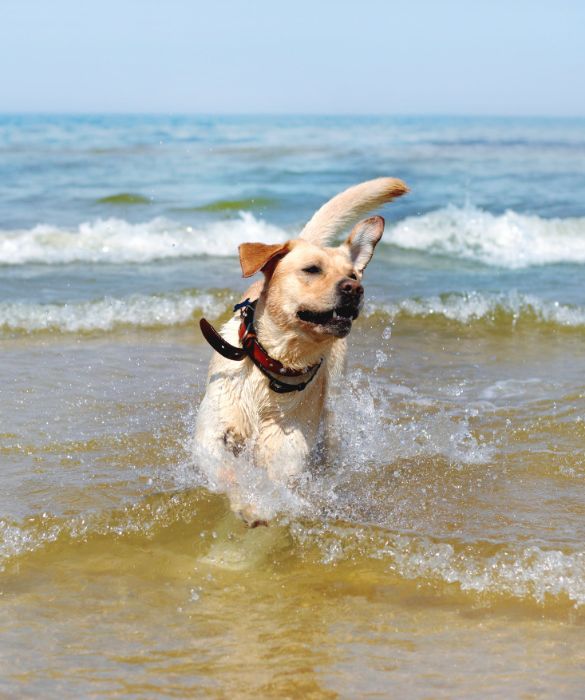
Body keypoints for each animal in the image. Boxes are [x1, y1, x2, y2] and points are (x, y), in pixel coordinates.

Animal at [195, 178, 406, 524]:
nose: (354, 288)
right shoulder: (210, 436)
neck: (276, 364)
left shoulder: (287, 449)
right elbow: (229, 470)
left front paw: (261, 502)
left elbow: (276, 482)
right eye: (311, 270)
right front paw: (247, 501)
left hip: (334, 402)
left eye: (352, 274)